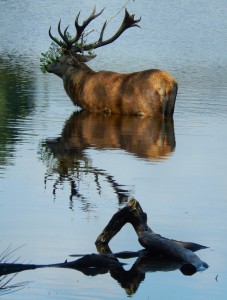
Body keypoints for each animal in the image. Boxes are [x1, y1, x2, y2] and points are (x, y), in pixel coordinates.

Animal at [45, 6, 177, 117]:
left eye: (58, 59)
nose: (47, 66)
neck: (81, 87)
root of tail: (167, 84)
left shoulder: (95, 107)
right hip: (170, 110)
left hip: (152, 109)